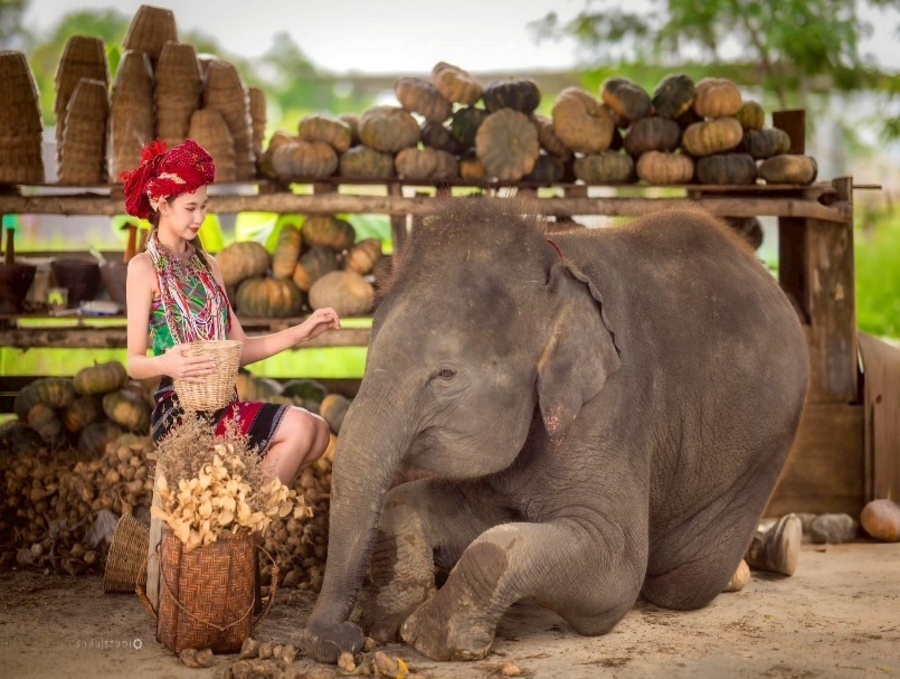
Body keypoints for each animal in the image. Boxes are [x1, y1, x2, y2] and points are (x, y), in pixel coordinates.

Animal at [302, 200, 809, 662]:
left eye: (445, 374)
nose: (342, 639)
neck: (555, 273)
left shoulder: (614, 407)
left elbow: (615, 570)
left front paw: (429, 636)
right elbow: (439, 510)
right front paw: (386, 622)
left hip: (761, 455)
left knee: (683, 581)